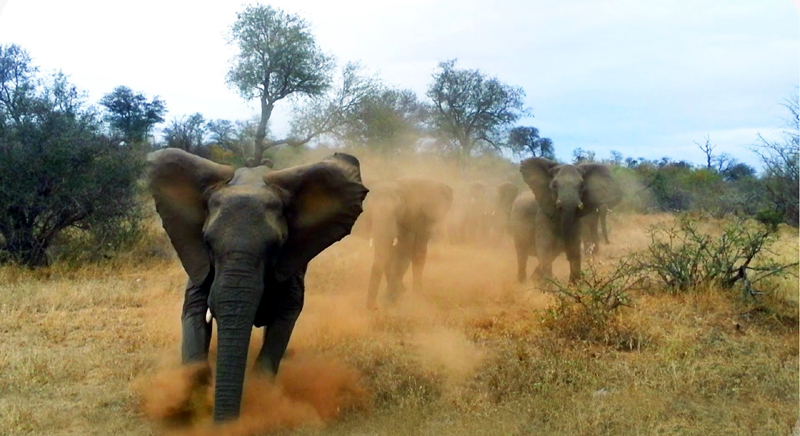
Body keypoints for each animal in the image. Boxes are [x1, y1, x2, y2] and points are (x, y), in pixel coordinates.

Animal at [146, 149, 366, 422]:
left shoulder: (290, 263)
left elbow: (285, 315)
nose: (223, 426)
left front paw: (261, 395)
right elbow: (194, 309)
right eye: (207, 243)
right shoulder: (198, 261)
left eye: (276, 245)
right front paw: (191, 391)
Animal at [360, 178, 454, 310]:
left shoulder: (408, 217)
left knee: (419, 254)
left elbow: (402, 253)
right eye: (368, 211)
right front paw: (397, 294)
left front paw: (391, 299)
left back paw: (417, 297)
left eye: (398, 210)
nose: (375, 308)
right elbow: (389, 254)